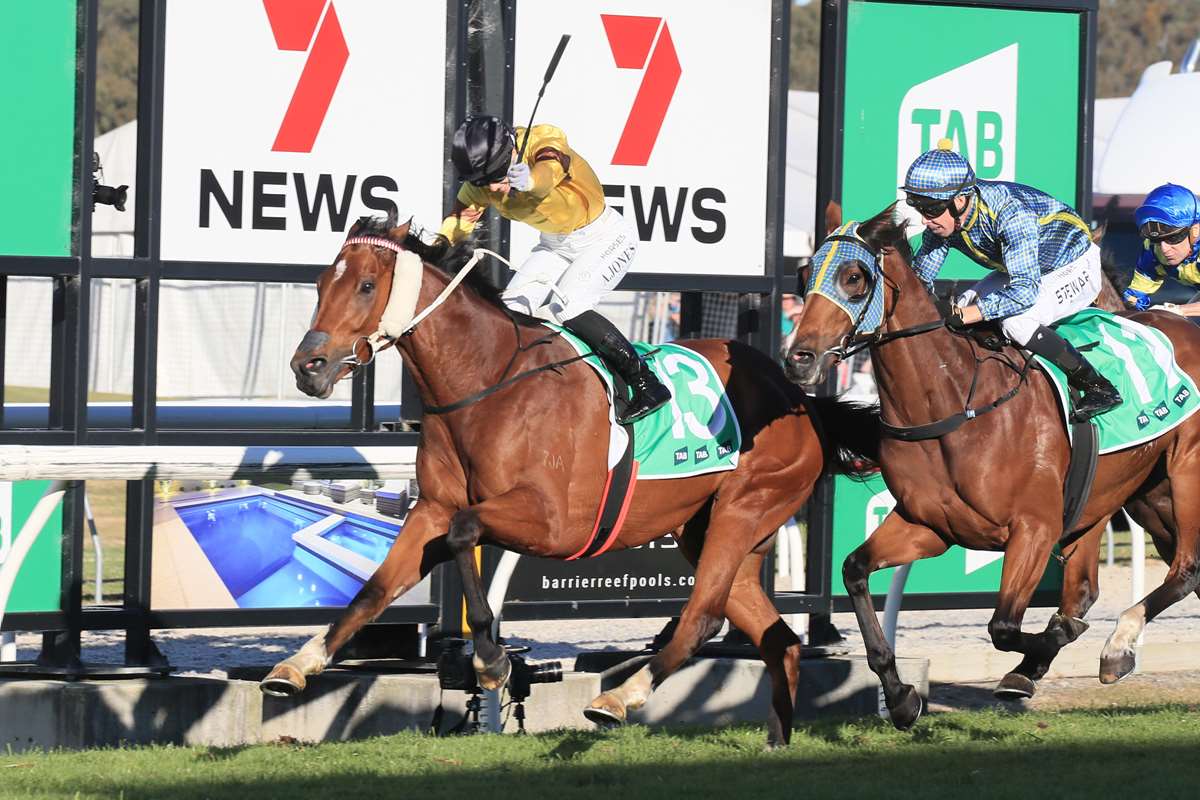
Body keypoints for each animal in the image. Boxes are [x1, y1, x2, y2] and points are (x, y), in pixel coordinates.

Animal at [262, 212, 878, 743]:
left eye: (367, 286)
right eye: (322, 284)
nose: (307, 367)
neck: (487, 382)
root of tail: (799, 399)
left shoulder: (557, 524)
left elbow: (464, 533)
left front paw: (491, 660)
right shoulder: (431, 508)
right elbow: (374, 589)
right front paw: (297, 664)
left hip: (745, 508)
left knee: (702, 617)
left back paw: (619, 698)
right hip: (708, 530)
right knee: (779, 640)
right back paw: (775, 739)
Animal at [782, 203, 1200, 729]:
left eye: (854, 277)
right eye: (803, 276)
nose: (799, 359)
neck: (954, 402)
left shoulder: (1035, 529)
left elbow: (1005, 625)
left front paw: (1049, 646)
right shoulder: (929, 525)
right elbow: (855, 569)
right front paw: (901, 697)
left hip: (1184, 474)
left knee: (1185, 570)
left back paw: (1116, 645)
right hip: (1144, 496)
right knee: (1113, 584)